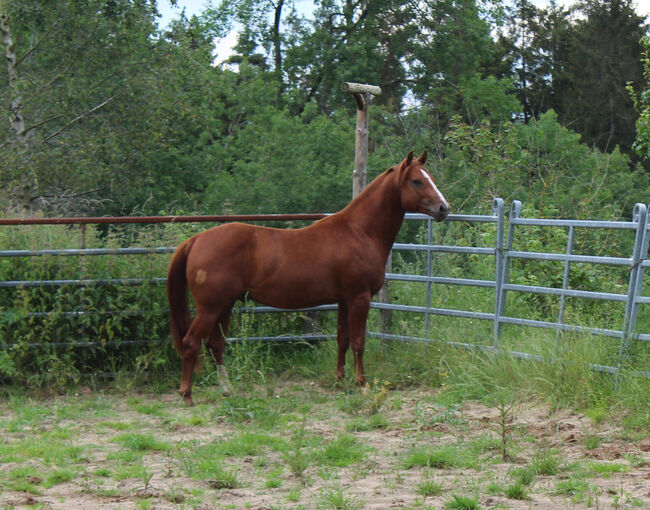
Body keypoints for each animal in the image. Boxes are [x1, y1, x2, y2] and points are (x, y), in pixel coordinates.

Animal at [167, 149, 448, 404]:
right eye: (417, 181)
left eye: (431, 177)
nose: (444, 208)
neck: (359, 232)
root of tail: (197, 239)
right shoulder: (360, 297)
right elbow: (358, 341)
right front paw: (361, 384)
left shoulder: (344, 299)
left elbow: (342, 339)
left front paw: (339, 380)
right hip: (210, 308)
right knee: (192, 342)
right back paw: (187, 394)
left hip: (224, 306)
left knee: (215, 345)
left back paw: (226, 390)